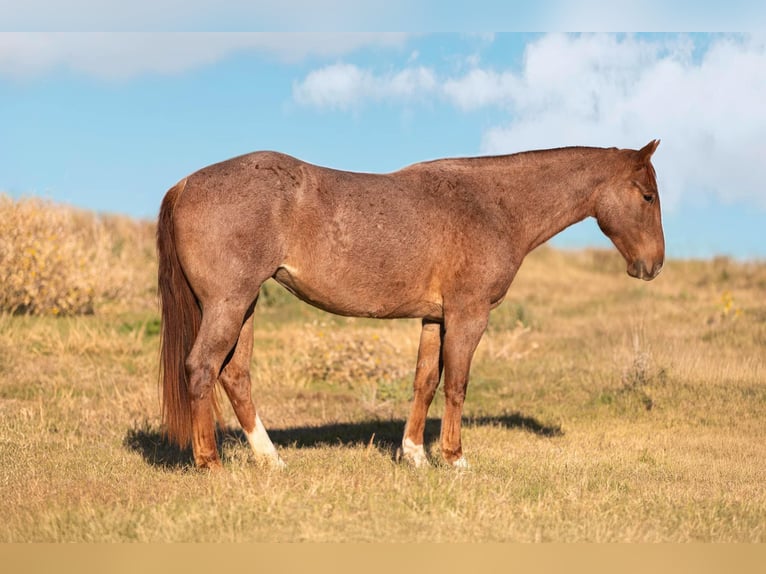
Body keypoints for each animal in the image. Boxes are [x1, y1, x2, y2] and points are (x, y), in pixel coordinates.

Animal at [157, 140, 664, 470]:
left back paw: (271, 459)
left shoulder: (434, 317)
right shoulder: (468, 315)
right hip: (229, 303)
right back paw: (211, 463)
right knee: (202, 369)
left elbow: (425, 382)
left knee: (234, 375)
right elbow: (456, 384)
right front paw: (455, 459)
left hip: (244, 307)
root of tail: (185, 184)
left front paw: (415, 454)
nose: (653, 265)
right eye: (647, 196)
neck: (492, 205)